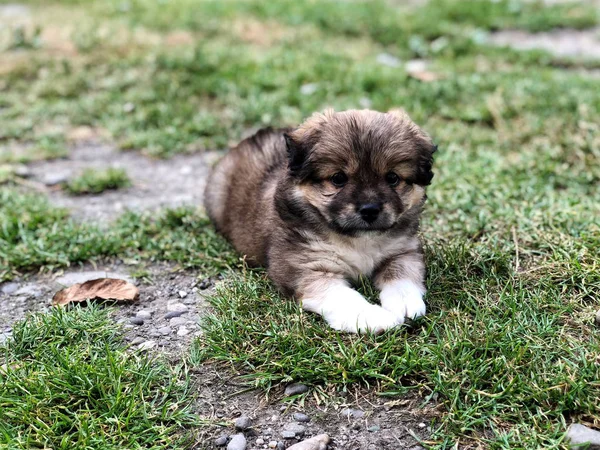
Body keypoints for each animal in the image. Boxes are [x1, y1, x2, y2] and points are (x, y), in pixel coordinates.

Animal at [205, 109, 436, 332]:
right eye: (338, 178)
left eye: (393, 178)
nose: (370, 210)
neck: (358, 240)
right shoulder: (307, 269)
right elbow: (344, 298)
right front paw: (373, 317)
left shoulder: (402, 251)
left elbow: (402, 276)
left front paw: (404, 303)